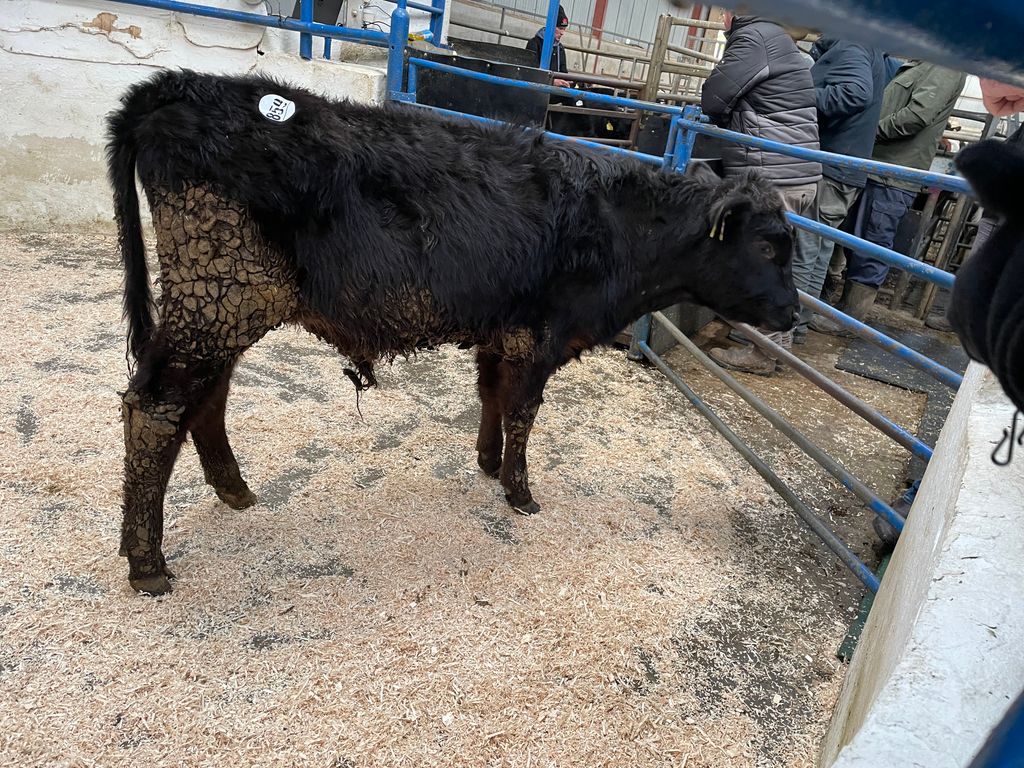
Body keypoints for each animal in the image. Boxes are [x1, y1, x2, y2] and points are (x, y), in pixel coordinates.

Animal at [107, 69, 797, 594]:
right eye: (768, 245)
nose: (793, 315)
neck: (617, 226)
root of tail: (178, 85)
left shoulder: (501, 330)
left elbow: (492, 396)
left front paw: (489, 466)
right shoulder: (539, 334)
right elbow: (522, 410)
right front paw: (520, 493)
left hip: (223, 307)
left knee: (205, 399)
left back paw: (235, 492)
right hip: (217, 295)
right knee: (156, 408)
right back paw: (147, 563)